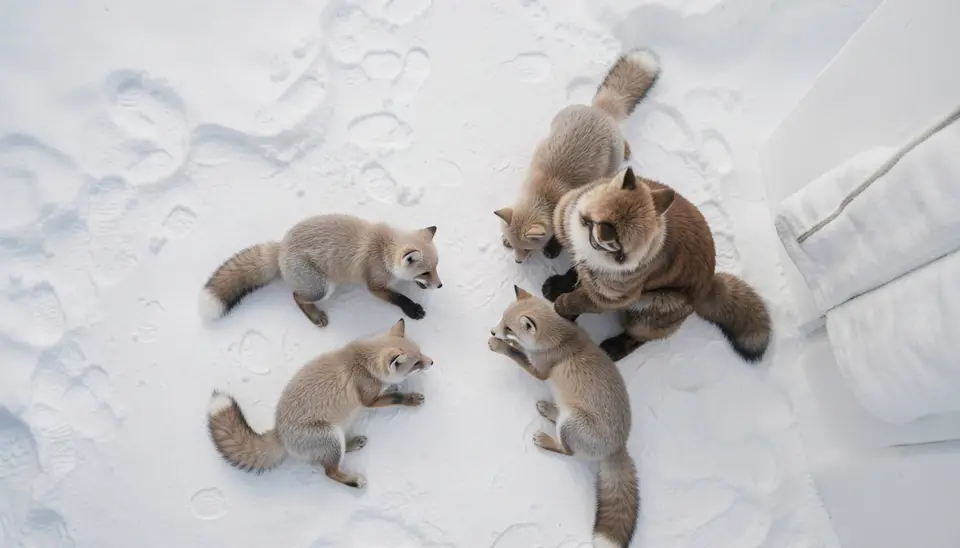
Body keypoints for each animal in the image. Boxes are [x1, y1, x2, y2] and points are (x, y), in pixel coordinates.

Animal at [198, 214, 442, 326]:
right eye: (425, 272)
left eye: (436, 268)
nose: (440, 285)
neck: (383, 248)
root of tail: (281, 249)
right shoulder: (374, 284)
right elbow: (397, 297)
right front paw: (412, 309)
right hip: (321, 288)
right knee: (296, 296)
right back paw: (315, 316)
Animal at [207, 318, 432, 488]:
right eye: (416, 363)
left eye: (421, 353)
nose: (432, 362)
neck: (362, 363)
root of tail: (278, 432)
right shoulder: (368, 400)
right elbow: (395, 398)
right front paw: (411, 398)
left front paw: (396, 386)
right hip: (331, 436)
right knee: (329, 471)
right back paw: (353, 481)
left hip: (336, 435)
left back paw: (354, 443)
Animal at [488, 285, 639, 548]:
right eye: (501, 319)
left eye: (509, 328)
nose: (492, 330)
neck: (562, 340)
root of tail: (619, 446)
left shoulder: (539, 371)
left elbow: (516, 353)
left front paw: (498, 345)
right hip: (569, 415)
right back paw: (548, 409)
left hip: (571, 423)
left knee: (567, 451)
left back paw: (546, 439)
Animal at [496, 48, 661, 263]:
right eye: (515, 246)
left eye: (526, 249)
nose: (518, 261)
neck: (544, 190)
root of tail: (600, 110)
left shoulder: (569, 205)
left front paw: (553, 248)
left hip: (611, 163)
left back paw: (626, 150)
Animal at [543, 166, 772, 363]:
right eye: (608, 222)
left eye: (624, 242)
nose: (606, 240)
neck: (590, 256)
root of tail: (709, 284)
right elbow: (574, 276)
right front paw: (558, 283)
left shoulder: (611, 297)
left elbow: (575, 301)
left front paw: (561, 311)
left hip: (646, 313)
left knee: (638, 339)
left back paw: (616, 348)